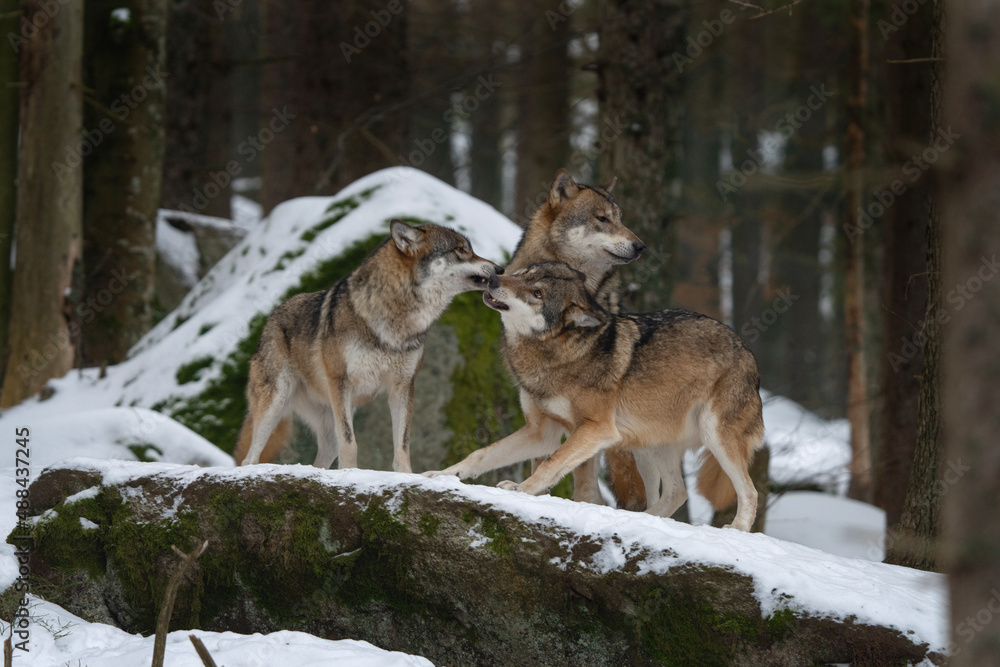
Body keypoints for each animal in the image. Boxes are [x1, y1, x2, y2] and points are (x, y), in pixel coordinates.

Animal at [235, 219, 502, 471]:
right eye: (461, 250)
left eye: (469, 249)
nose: (499, 269)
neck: (397, 317)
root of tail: (272, 316)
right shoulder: (340, 381)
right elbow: (350, 441)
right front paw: (350, 473)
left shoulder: (403, 386)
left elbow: (402, 446)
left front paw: (406, 476)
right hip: (277, 403)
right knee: (250, 457)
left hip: (326, 420)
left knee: (322, 457)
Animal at [425, 262, 764, 531]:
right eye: (523, 273)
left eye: (537, 294)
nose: (494, 278)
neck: (555, 354)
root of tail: (747, 351)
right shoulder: (541, 432)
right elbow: (480, 454)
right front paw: (441, 475)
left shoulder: (597, 429)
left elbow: (551, 463)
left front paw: (521, 489)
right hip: (648, 446)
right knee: (676, 493)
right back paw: (638, 519)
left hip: (713, 436)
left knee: (749, 491)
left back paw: (736, 529)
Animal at [506, 169, 648, 510]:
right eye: (602, 219)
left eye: (620, 219)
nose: (641, 246)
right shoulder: (540, 416)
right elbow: (543, 459)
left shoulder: (587, 421)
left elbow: (581, 475)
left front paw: (583, 503)